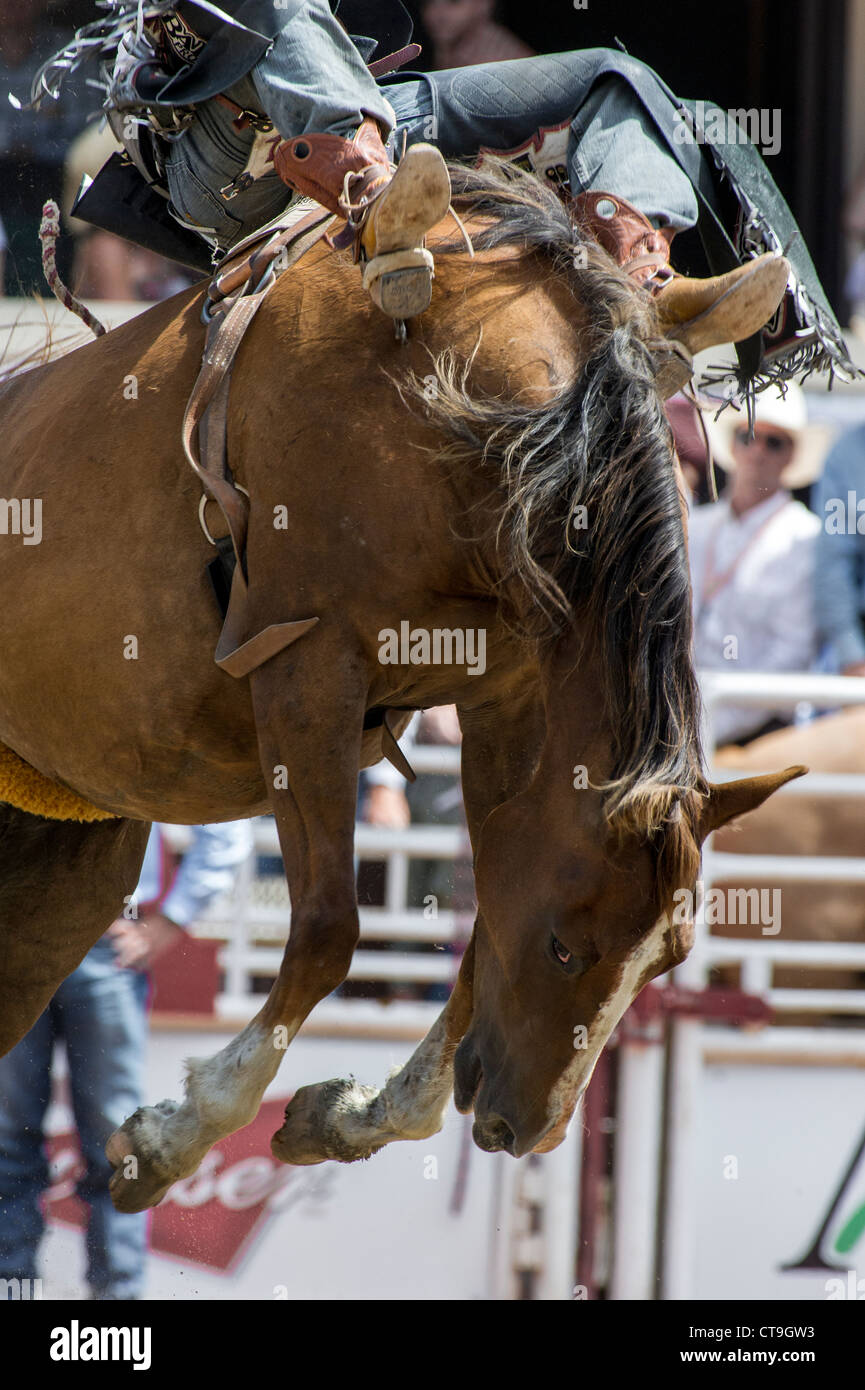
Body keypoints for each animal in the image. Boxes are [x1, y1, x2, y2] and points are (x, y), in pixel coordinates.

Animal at [0, 159, 801, 1206]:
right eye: (564, 944)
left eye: (666, 958)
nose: (520, 1131)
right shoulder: (304, 669)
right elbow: (330, 929)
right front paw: (175, 1132)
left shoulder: (506, 697)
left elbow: (475, 931)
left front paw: (351, 1113)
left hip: (56, 864)